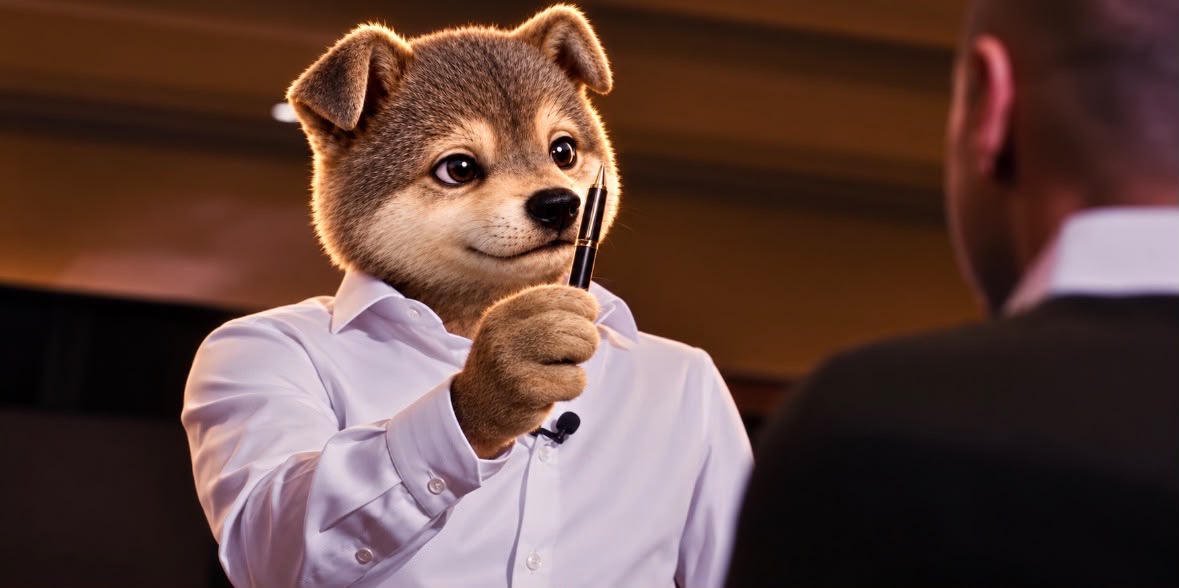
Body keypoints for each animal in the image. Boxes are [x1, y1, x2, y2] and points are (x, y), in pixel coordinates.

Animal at [183, 5, 751, 587]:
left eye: (563, 150)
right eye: (458, 168)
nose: (559, 203)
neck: (474, 312)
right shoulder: (237, 356)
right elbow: (274, 519)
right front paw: (506, 374)